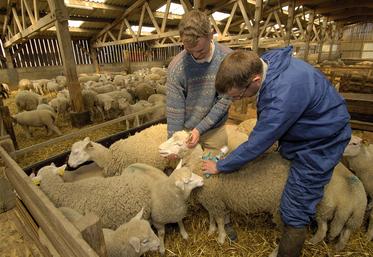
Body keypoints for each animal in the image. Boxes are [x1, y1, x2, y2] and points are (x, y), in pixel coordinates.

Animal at [158, 130, 366, 250]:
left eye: (179, 144)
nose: (160, 149)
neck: (199, 165)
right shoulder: (212, 200)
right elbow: (212, 217)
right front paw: (211, 231)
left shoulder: (216, 202)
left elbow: (220, 221)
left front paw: (221, 238)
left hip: (281, 209)